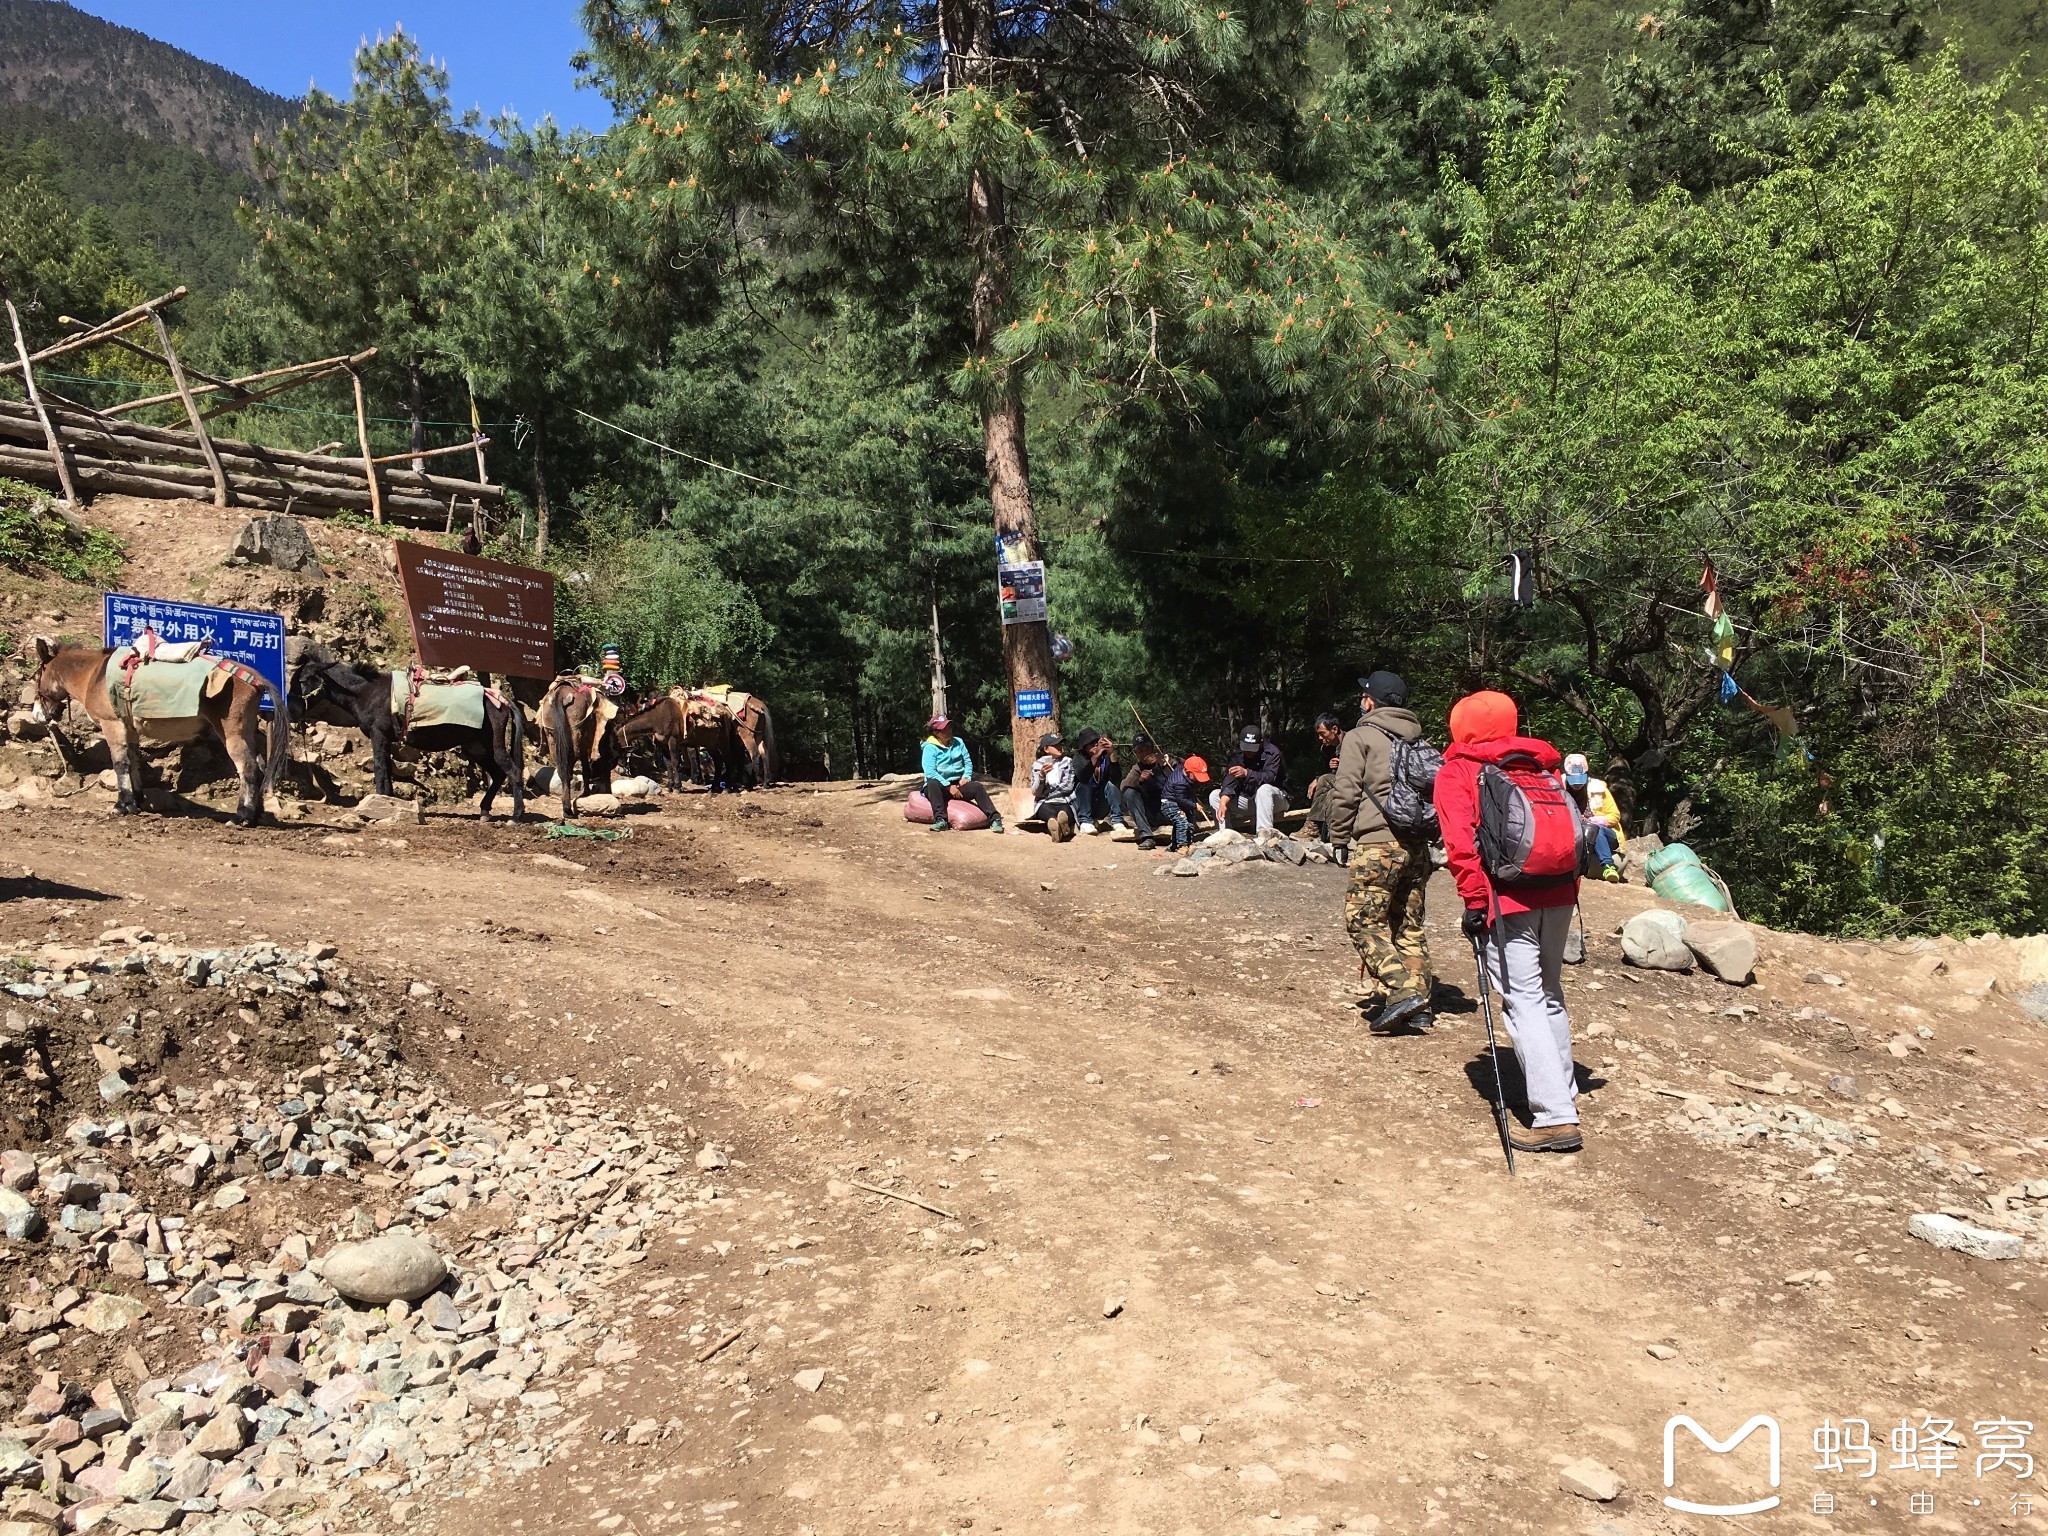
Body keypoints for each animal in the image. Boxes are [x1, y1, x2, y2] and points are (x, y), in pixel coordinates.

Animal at [32, 638, 288, 831]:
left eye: (37, 676)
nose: (37, 715)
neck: (94, 675)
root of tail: (254, 677)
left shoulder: (112, 725)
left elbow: (120, 763)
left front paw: (122, 804)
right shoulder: (129, 730)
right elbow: (133, 762)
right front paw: (137, 800)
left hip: (232, 733)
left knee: (248, 768)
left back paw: (242, 816)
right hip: (245, 732)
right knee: (259, 766)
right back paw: (256, 815)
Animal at [290, 663, 528, 831]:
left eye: (302, 679)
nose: (291, 712)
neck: (367, 692)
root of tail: (501, 699)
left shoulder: (378, 736)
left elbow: (380, 770)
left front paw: (379, 805)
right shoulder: (386, 740)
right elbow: (387, 771)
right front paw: (389, 803)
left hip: (492, 744)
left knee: (513, 771)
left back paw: (515, 817)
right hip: (476, 747)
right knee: (498, 774)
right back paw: (485, 811)